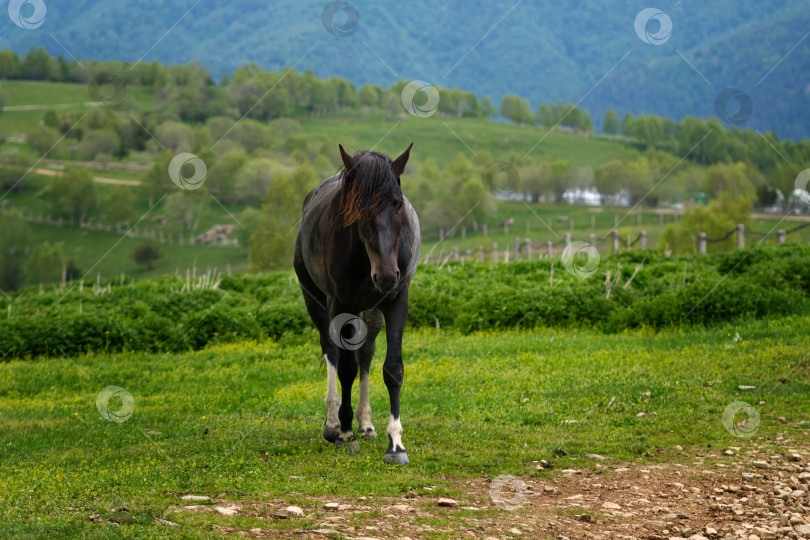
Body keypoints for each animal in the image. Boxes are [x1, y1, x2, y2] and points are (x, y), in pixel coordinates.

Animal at [296, 143, 422, 464]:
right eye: (358, 210)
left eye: (397, 204)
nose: (386, 275)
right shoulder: (341, 305)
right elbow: (345, 369)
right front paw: (344, 434)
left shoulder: (396, 301)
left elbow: (392, 369)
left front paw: (396, 444)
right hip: (316, 300)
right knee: (331, 351)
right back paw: (333, 424)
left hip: (371, 311)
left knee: (365, 354)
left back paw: (365, 424)